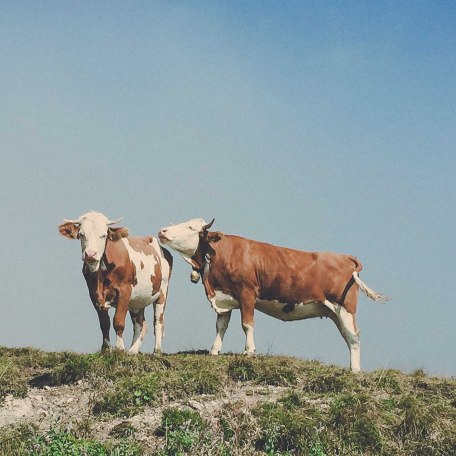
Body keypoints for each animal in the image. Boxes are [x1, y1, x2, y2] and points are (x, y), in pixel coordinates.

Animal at [59, 212, 174, 354]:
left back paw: (156, 351)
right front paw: (106, 349)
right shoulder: (93, 294)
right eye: (81, 234)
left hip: (162, 291)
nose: (90, 254)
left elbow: (118, 321)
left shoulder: (124, 290)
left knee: (158, 321)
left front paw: (119, 348)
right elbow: (105, 323)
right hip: (137, 300)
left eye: (103, 235)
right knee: (141, 324)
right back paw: (132, 351)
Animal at [159, 219, 388, 372]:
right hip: (334, 311)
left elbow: (247, 324)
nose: (162, 230)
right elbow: (220, 326)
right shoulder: (225, 298)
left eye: (191, 228)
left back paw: (355, 370)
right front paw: (214, 350)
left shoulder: (247, 293)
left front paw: (249, 351)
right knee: (347, 336)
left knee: (353, 336)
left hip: (345, 307)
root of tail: (346, 256)